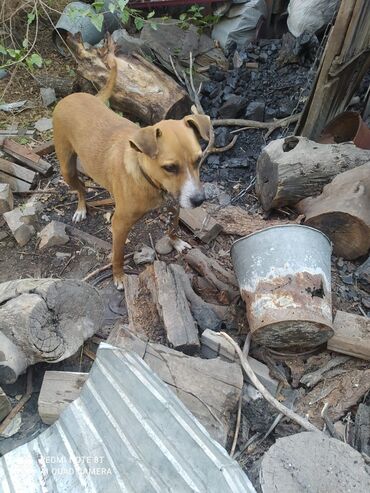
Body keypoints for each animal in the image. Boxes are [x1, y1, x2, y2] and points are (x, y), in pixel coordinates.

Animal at [52, 60, 211, 288]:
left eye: (199, 159)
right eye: (170, 167)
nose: (199, 200)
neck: (148, 180)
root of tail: (72, 96)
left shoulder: (175, 204)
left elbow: (173, 226)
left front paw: (176, 242)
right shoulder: (119, 225)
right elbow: (118, 255)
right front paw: (119, 276)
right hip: (67, 168)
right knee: (81, 188)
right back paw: (81, 208)